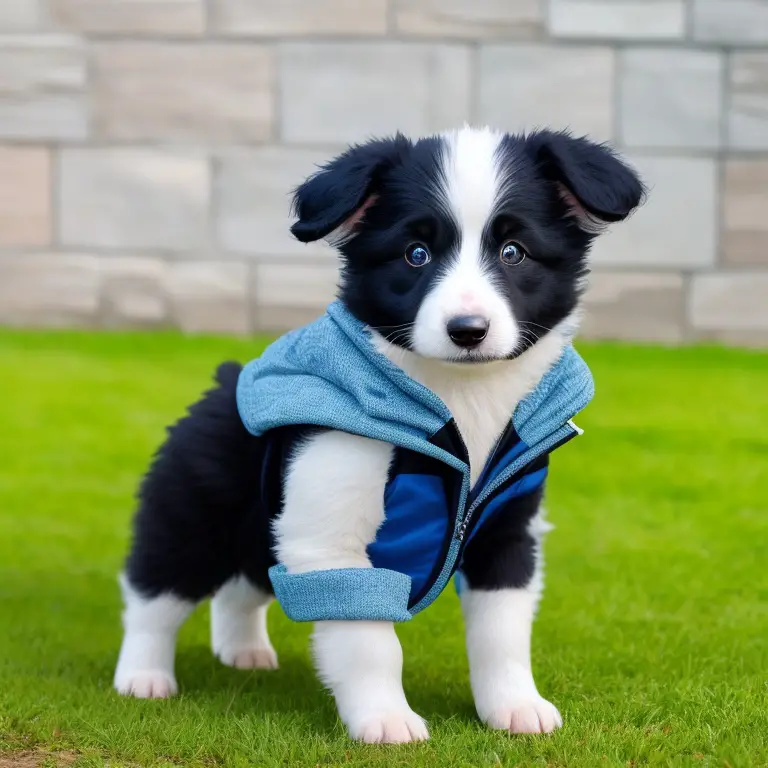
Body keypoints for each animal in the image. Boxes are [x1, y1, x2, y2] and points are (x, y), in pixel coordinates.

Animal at [112, 127, 640, 744]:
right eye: (416, 255)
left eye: (514, 252)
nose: (468, 330)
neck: (462, 404)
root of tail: (224, 380)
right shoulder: (334, 541)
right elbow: (369, 644)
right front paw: (386, 720)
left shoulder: (508, 533)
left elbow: (503, 635)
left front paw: (515, 706)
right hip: (194, 515)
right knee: (154, 594)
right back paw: (143, 677)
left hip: (264, 529)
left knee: (245, 585)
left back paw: (244, 652)